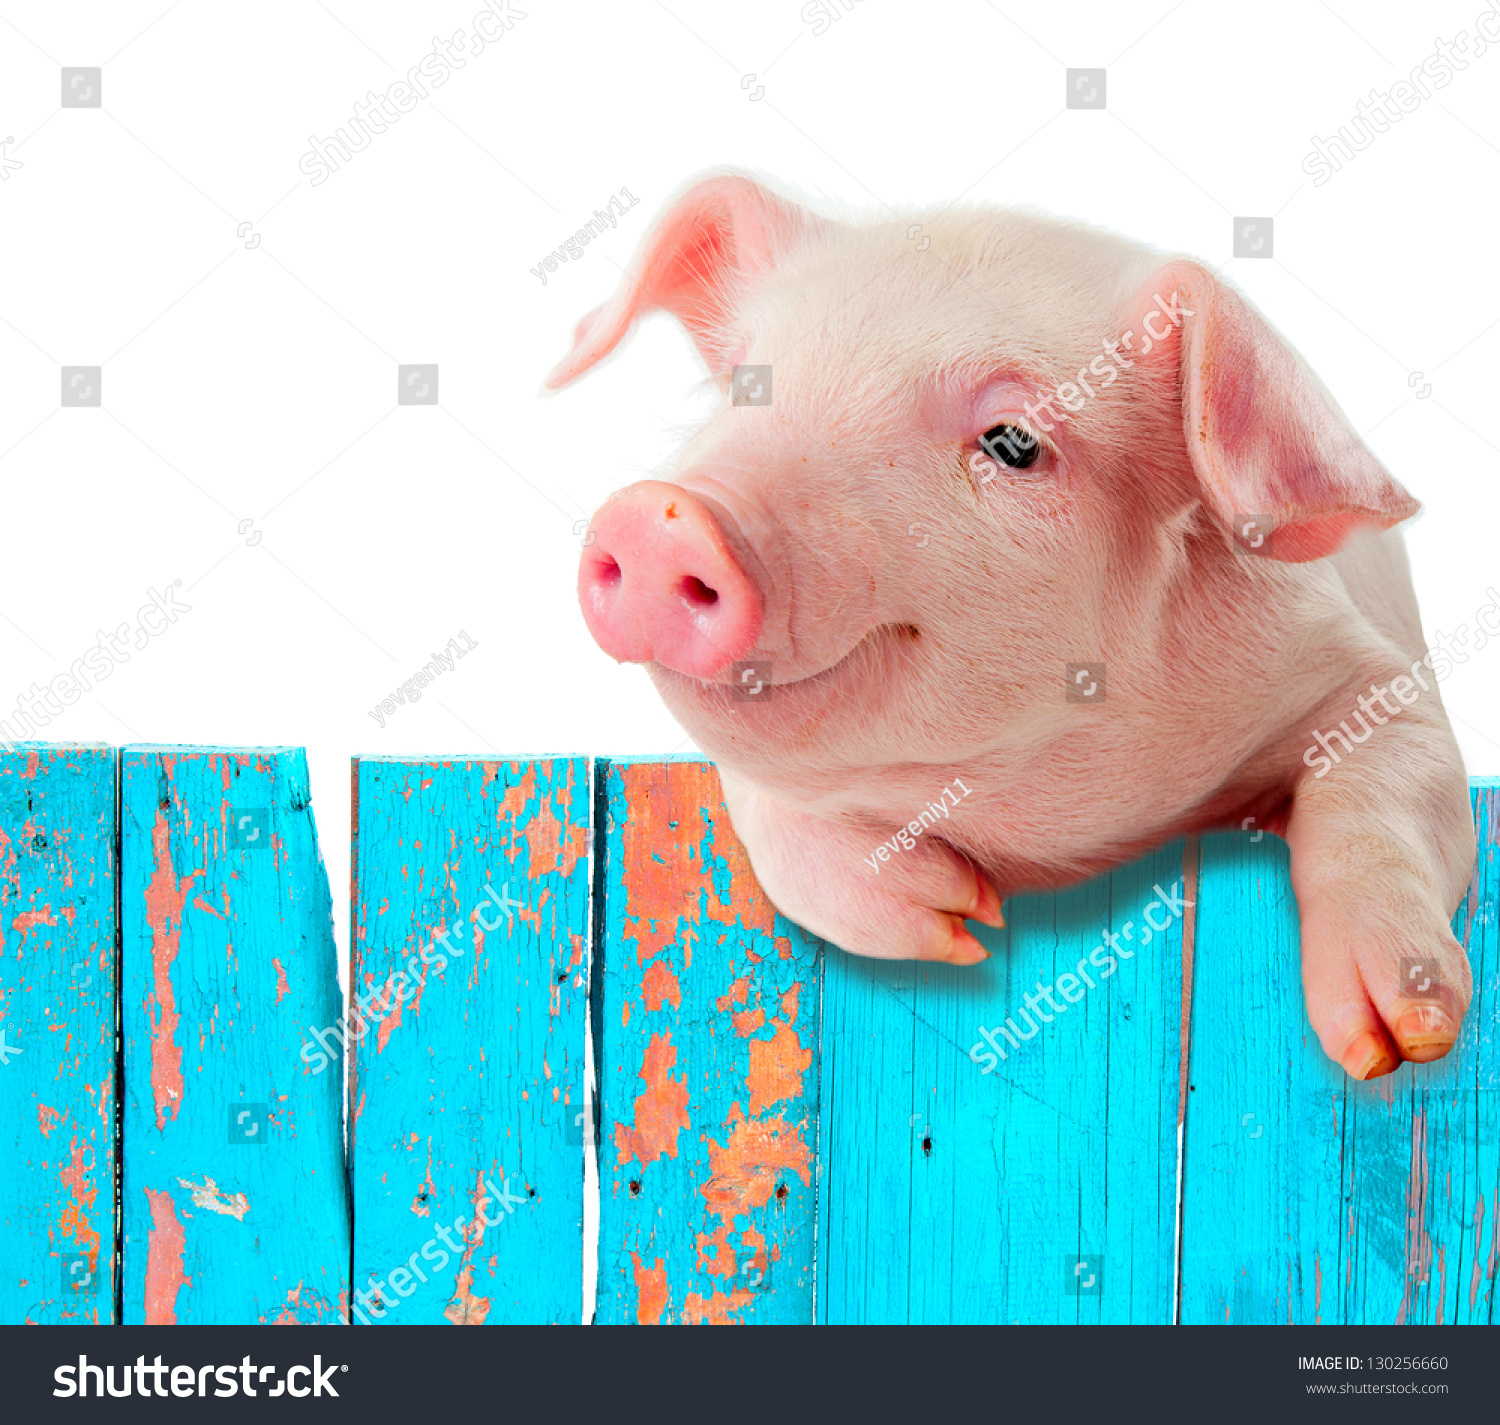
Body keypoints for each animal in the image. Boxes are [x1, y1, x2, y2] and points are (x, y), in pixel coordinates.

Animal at [546, 171, 1477, 1083]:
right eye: (746, 384)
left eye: (1014, 442)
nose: (661, 517)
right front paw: (961, 920)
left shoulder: (1369, 673)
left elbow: (1389, 787)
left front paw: (1402, 1039)